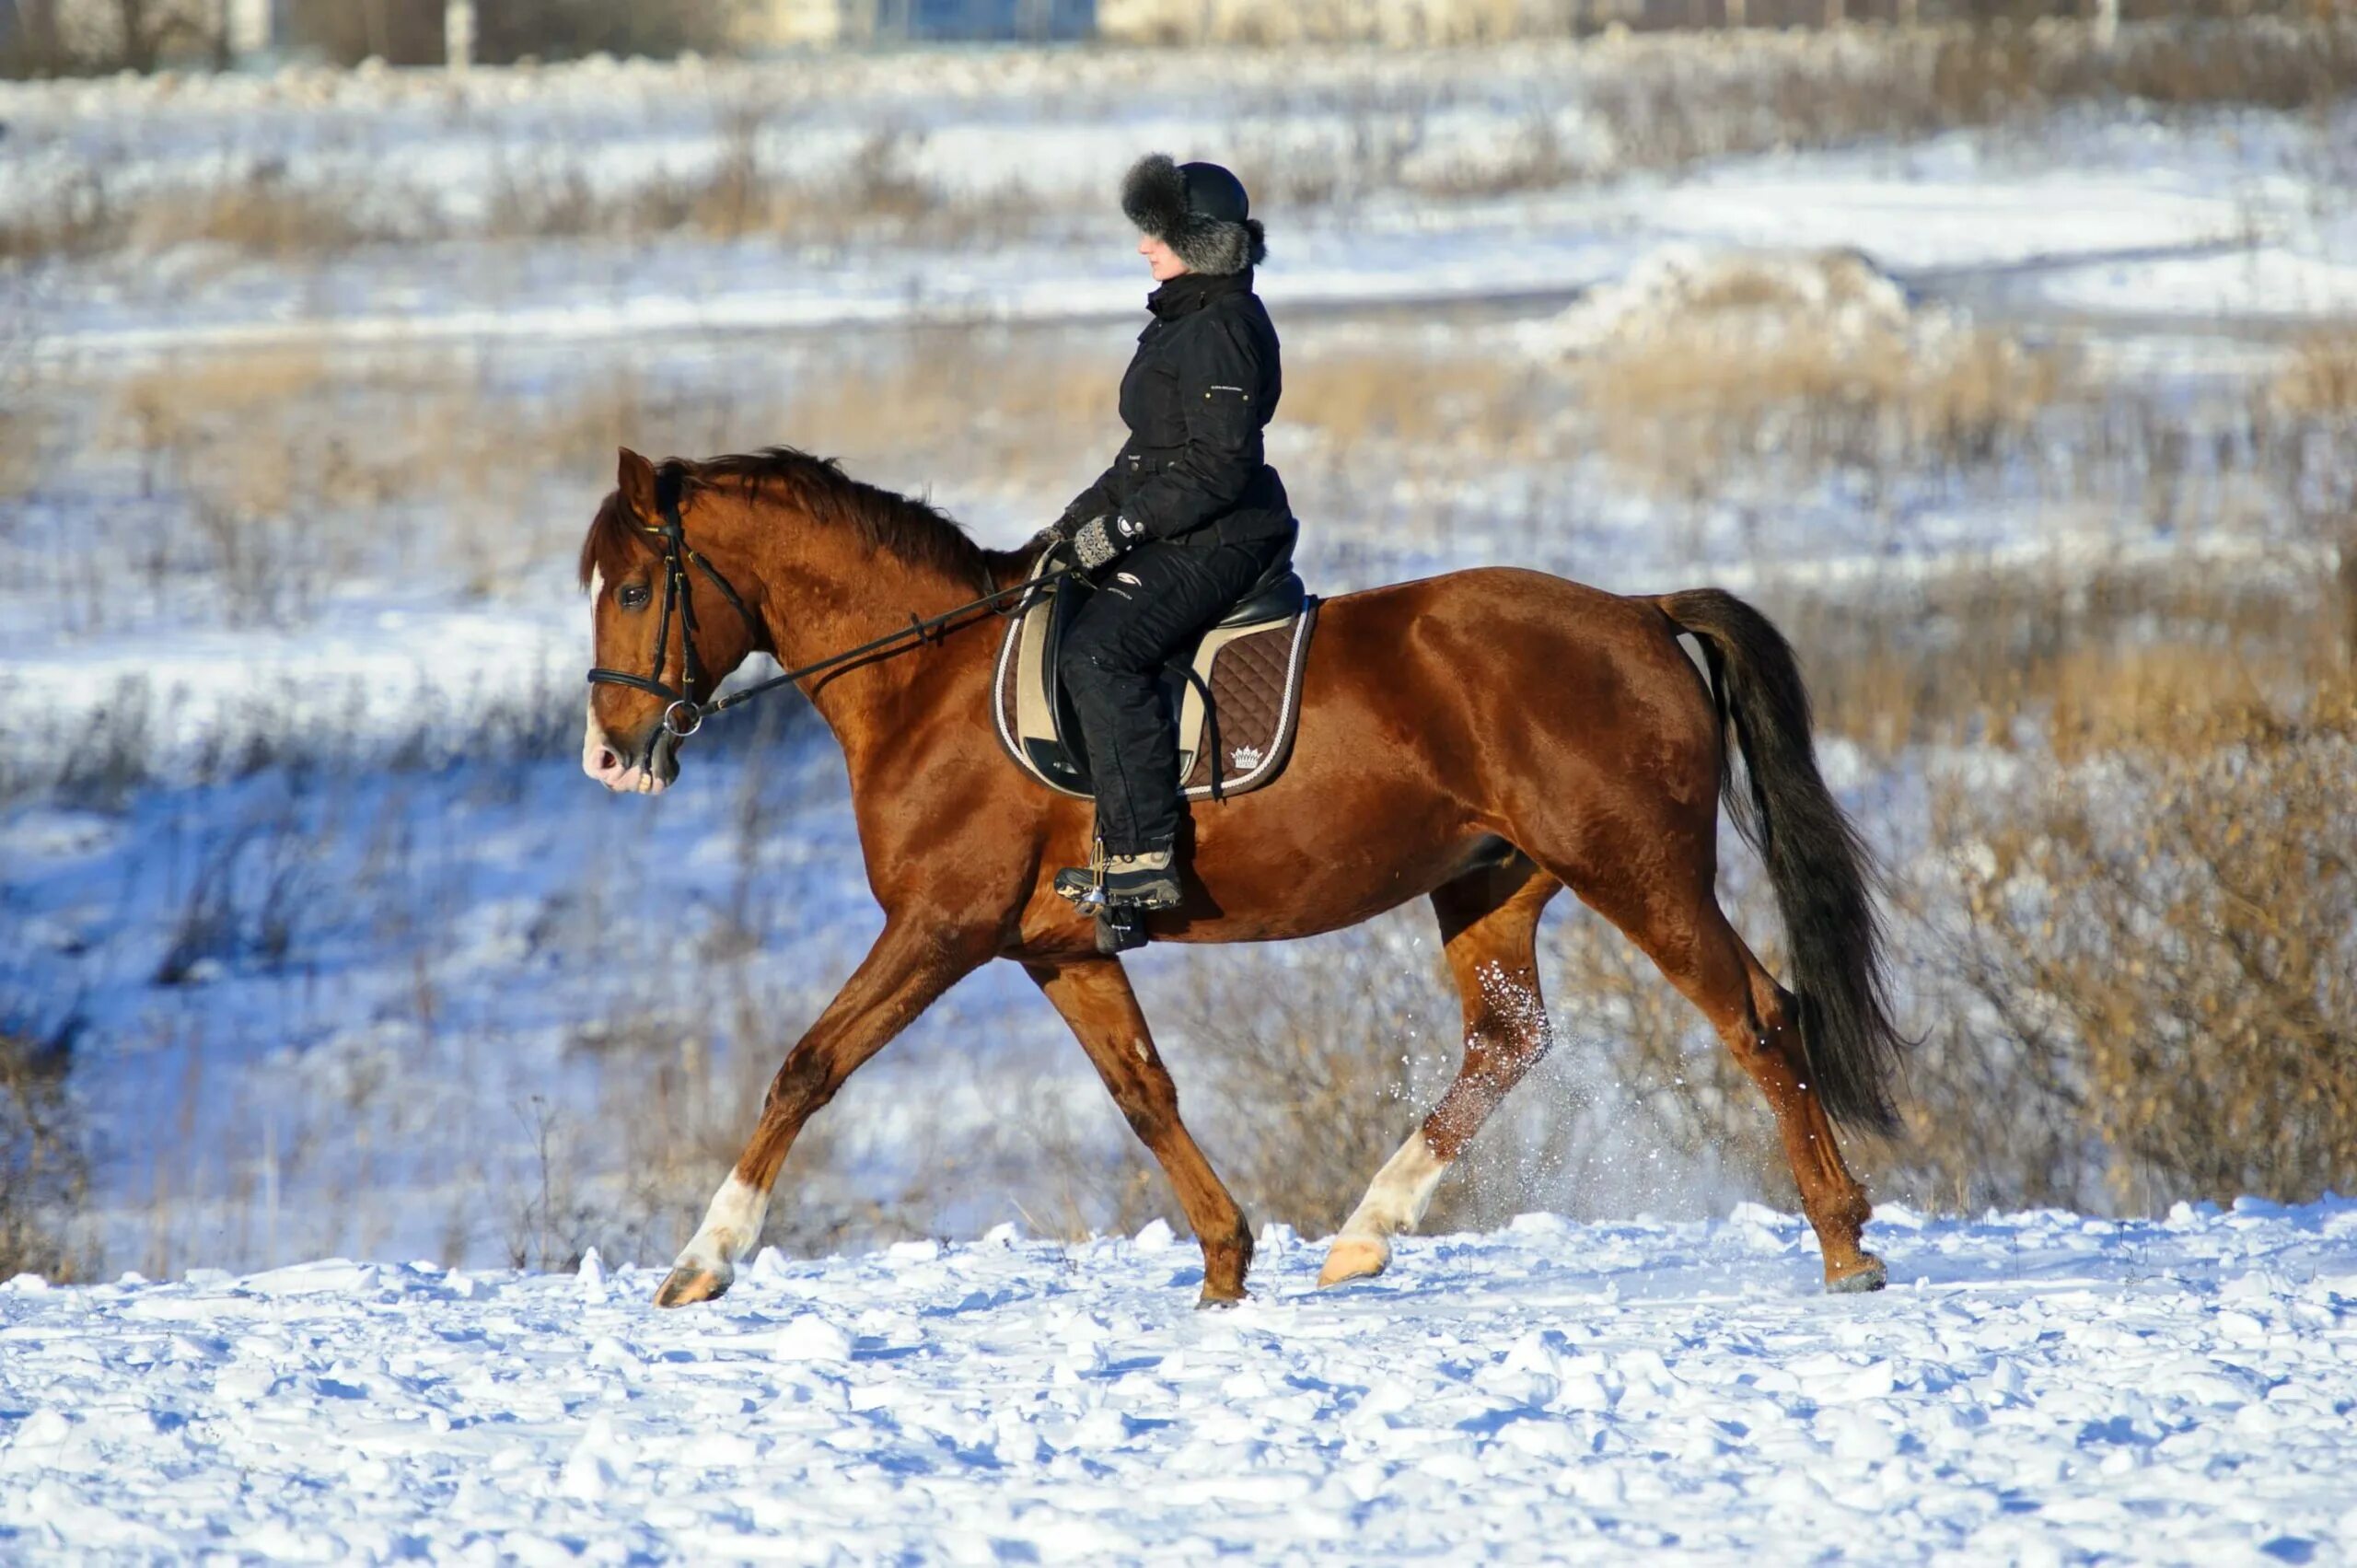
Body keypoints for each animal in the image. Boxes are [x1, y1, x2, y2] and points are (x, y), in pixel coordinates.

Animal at [579, 443, 1904, 1310]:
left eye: (637, 587)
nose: (608, 754)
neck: (924, 684)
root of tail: (1636, 608)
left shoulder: (940, 926)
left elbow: (808, 1064)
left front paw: (703, 1259)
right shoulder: (1059, 948)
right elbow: (1145, 1094)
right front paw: (1225, 1262)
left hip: (1637, 868)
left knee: (1758, 1015)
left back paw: (1846, 1244)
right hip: (1493, 882)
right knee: (1508, 1040)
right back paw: (1365, 1234)